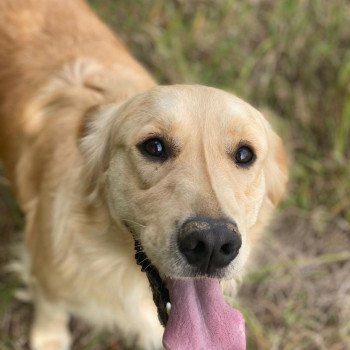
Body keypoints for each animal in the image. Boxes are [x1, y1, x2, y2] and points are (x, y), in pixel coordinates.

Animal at [0, 0, 288, 350]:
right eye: (154, 146)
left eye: (245, 154)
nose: (212, 243)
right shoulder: (46, 273)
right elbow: (51, 311)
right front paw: (49, 337)